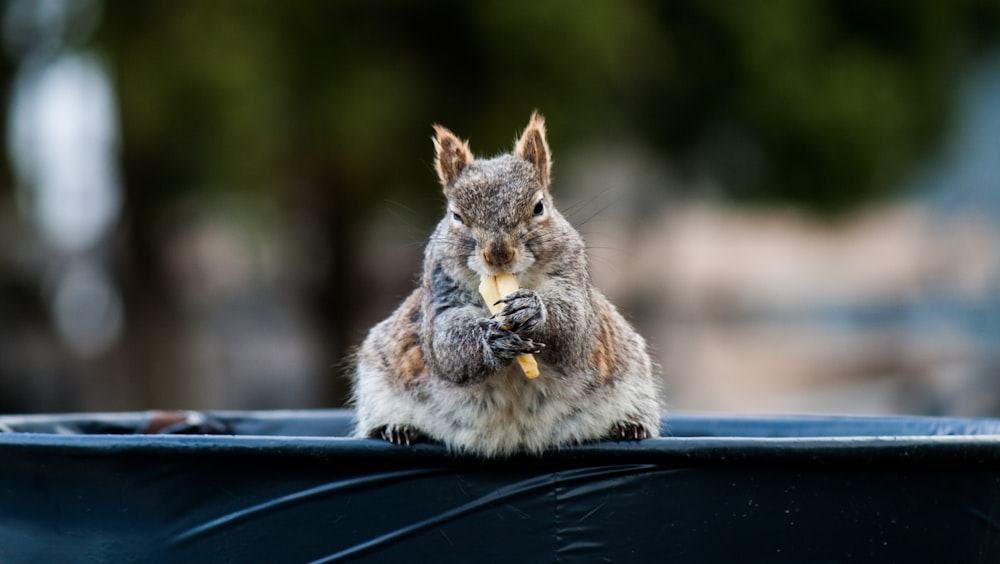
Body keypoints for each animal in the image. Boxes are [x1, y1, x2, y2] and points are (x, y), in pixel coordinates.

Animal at [352, 112, 664, 456]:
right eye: (456, 215)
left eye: (539, 207)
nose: (498, 253)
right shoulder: (440, 297)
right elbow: (445, 342)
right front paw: (491, 341)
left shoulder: (572, 282)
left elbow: (575, 328)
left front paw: (532, 310)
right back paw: (396, 427)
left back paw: (629, 425)